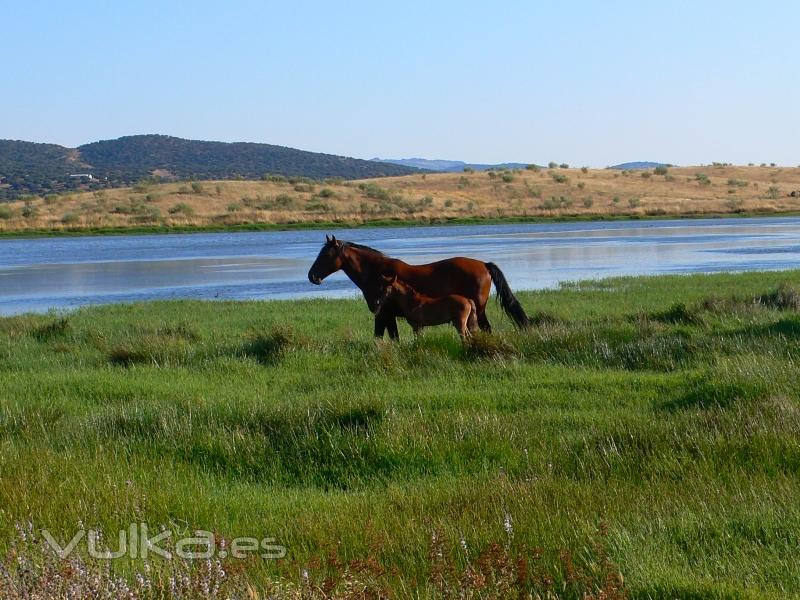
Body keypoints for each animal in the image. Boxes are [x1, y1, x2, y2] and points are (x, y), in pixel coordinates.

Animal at [308, 234, 532, 338]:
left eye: (326, 254)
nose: (312, 276)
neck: (376, 273)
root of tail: (484, 264)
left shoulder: (382, 313)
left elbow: (380, 336)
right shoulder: (388, 315)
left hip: (479, 309)